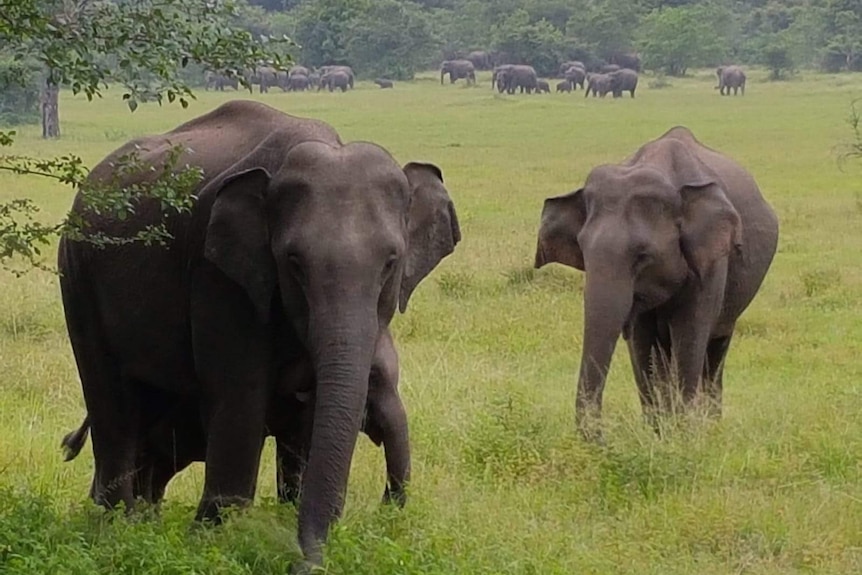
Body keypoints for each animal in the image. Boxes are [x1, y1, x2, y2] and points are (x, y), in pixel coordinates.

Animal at [59, 98, 466, 568]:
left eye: (391, 262)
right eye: (293, 262)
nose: (304, 564)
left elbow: (309, 419)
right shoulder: (218, 273)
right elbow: (240, 397)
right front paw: (218, 541)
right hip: (77, 273)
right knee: (111, 398)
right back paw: (117, 529)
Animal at [532, 127, 784, 440]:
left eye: (643, 256)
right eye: (583, 250)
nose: (601, 439)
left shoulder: (712, 261)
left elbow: (690, 334)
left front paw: (684, 437)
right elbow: (642, 347)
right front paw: (658, 434)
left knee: (715, 349)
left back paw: (711, 427)